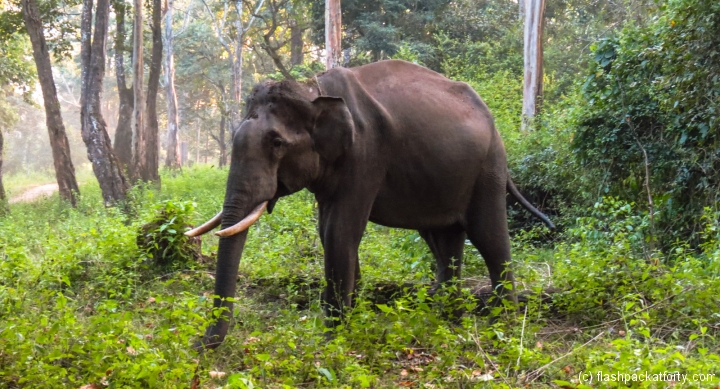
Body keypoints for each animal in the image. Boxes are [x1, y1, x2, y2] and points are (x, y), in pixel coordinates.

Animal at [186, 59, 552, 348]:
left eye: (276, 142)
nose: (199, 345)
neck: (312, 89)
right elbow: (327, 232)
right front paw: (351, 319)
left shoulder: (365, 155)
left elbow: (340, 231)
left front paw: (333, 338)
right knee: (444, 239)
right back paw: (447, 319)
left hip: (488, 169)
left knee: (490, 235)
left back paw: (504, 324)